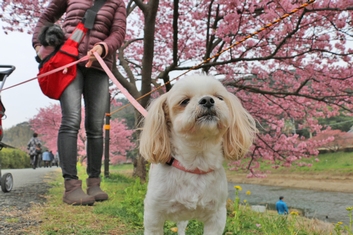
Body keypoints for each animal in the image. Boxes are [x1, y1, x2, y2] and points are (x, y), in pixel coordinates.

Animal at [138, 74, 256, 234]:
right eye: (184, 101)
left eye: (219, 97)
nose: (207, 100)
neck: (196, 162)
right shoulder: (153, 216)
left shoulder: (217, 217)